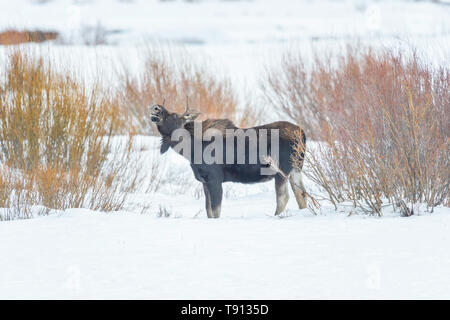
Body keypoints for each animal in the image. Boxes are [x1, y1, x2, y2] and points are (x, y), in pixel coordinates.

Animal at [149, 102, 308, 218]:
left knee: (283, 197)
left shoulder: (215, 179)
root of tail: (303, 133)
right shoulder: (204, 182)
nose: (155, 107)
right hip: (296, 169)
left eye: (173, 115)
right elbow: (208, 210)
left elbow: (216, 211)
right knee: (301, 194)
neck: (190, 150)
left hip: (281, 171)